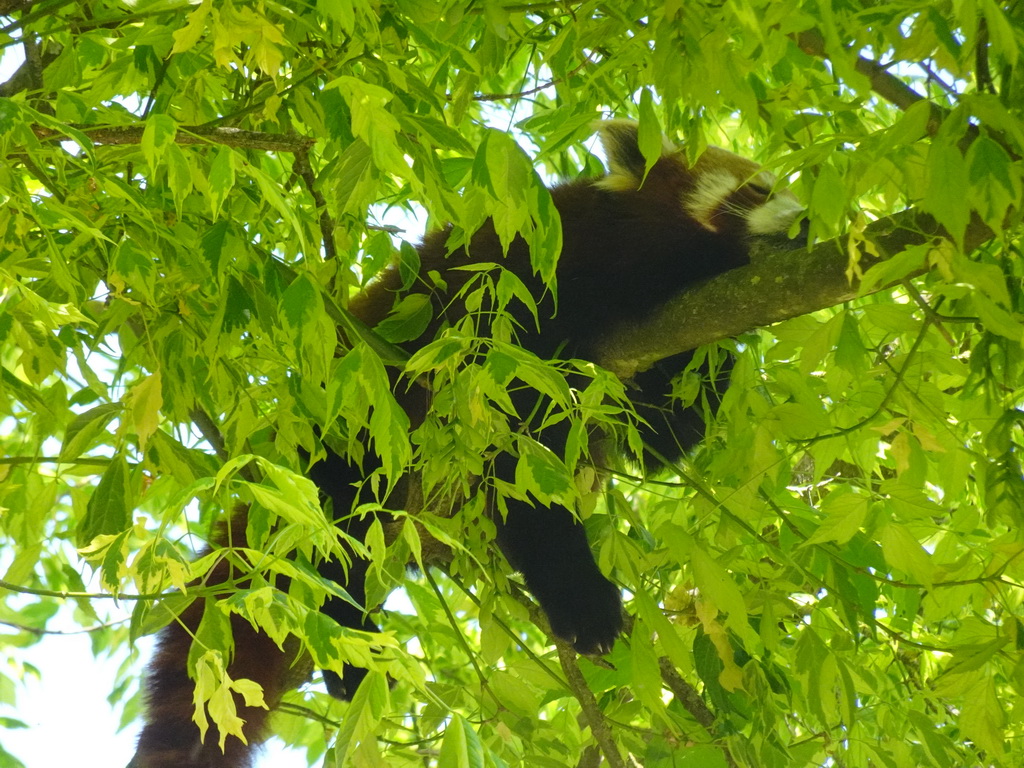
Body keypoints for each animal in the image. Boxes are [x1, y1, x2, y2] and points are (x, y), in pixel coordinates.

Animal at [132, 120, 806, 768]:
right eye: (755, 190)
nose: (803, 223)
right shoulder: (524, 291)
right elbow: (526, 480)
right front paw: (584, 602)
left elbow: (657, 438)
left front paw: (723, 362)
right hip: (352, 432)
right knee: (335, 535)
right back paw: (350, 643)